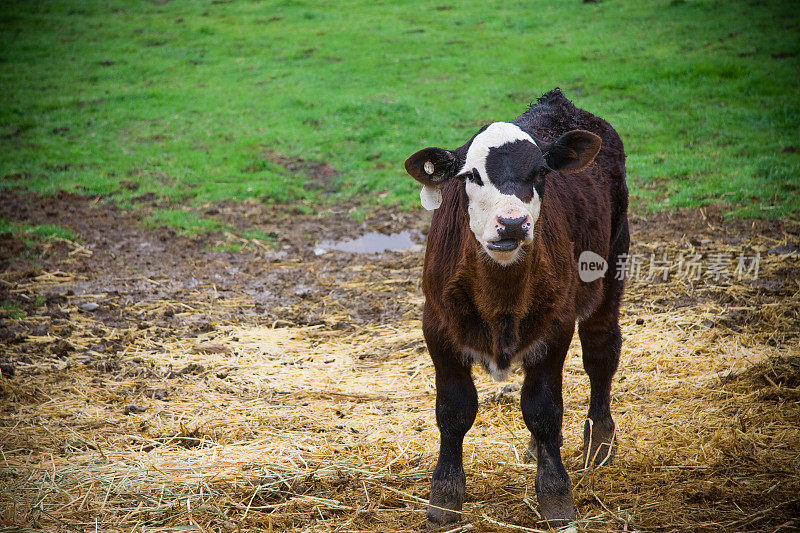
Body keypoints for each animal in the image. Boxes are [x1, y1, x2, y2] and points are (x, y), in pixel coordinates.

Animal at [404, 89, 628, 524]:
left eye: (540, 173)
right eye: (470, 176)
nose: (511, 223)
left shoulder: (556, 325)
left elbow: (543, 410)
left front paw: (556, 496)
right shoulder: (436, 325)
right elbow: (454, 410)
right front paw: (444, 498)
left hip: (612, 263)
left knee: (600, 352)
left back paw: (599, 443)